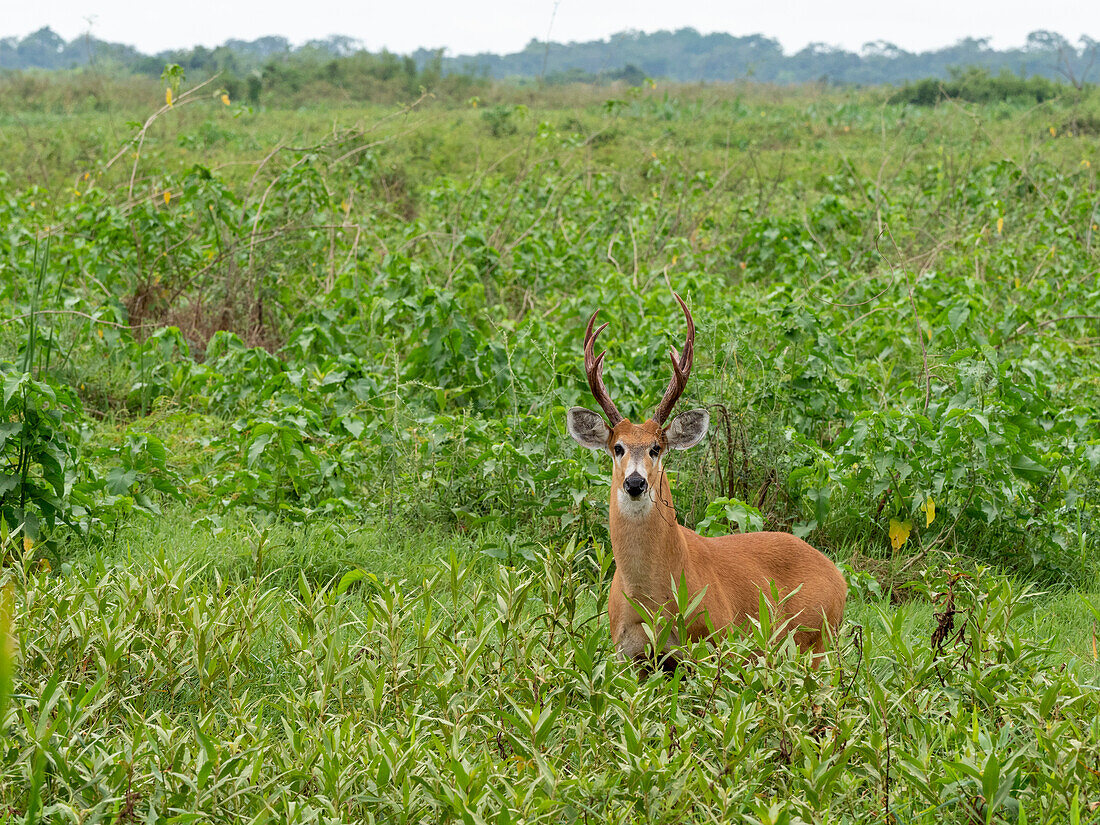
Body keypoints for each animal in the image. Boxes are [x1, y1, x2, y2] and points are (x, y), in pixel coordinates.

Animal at [563, 297, 844, 673]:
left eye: (656, 447)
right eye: (617, 447)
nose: (635, 482)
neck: (651, 602)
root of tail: (840, 577)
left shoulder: (716, 645)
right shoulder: (626, 656)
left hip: (817, 642)